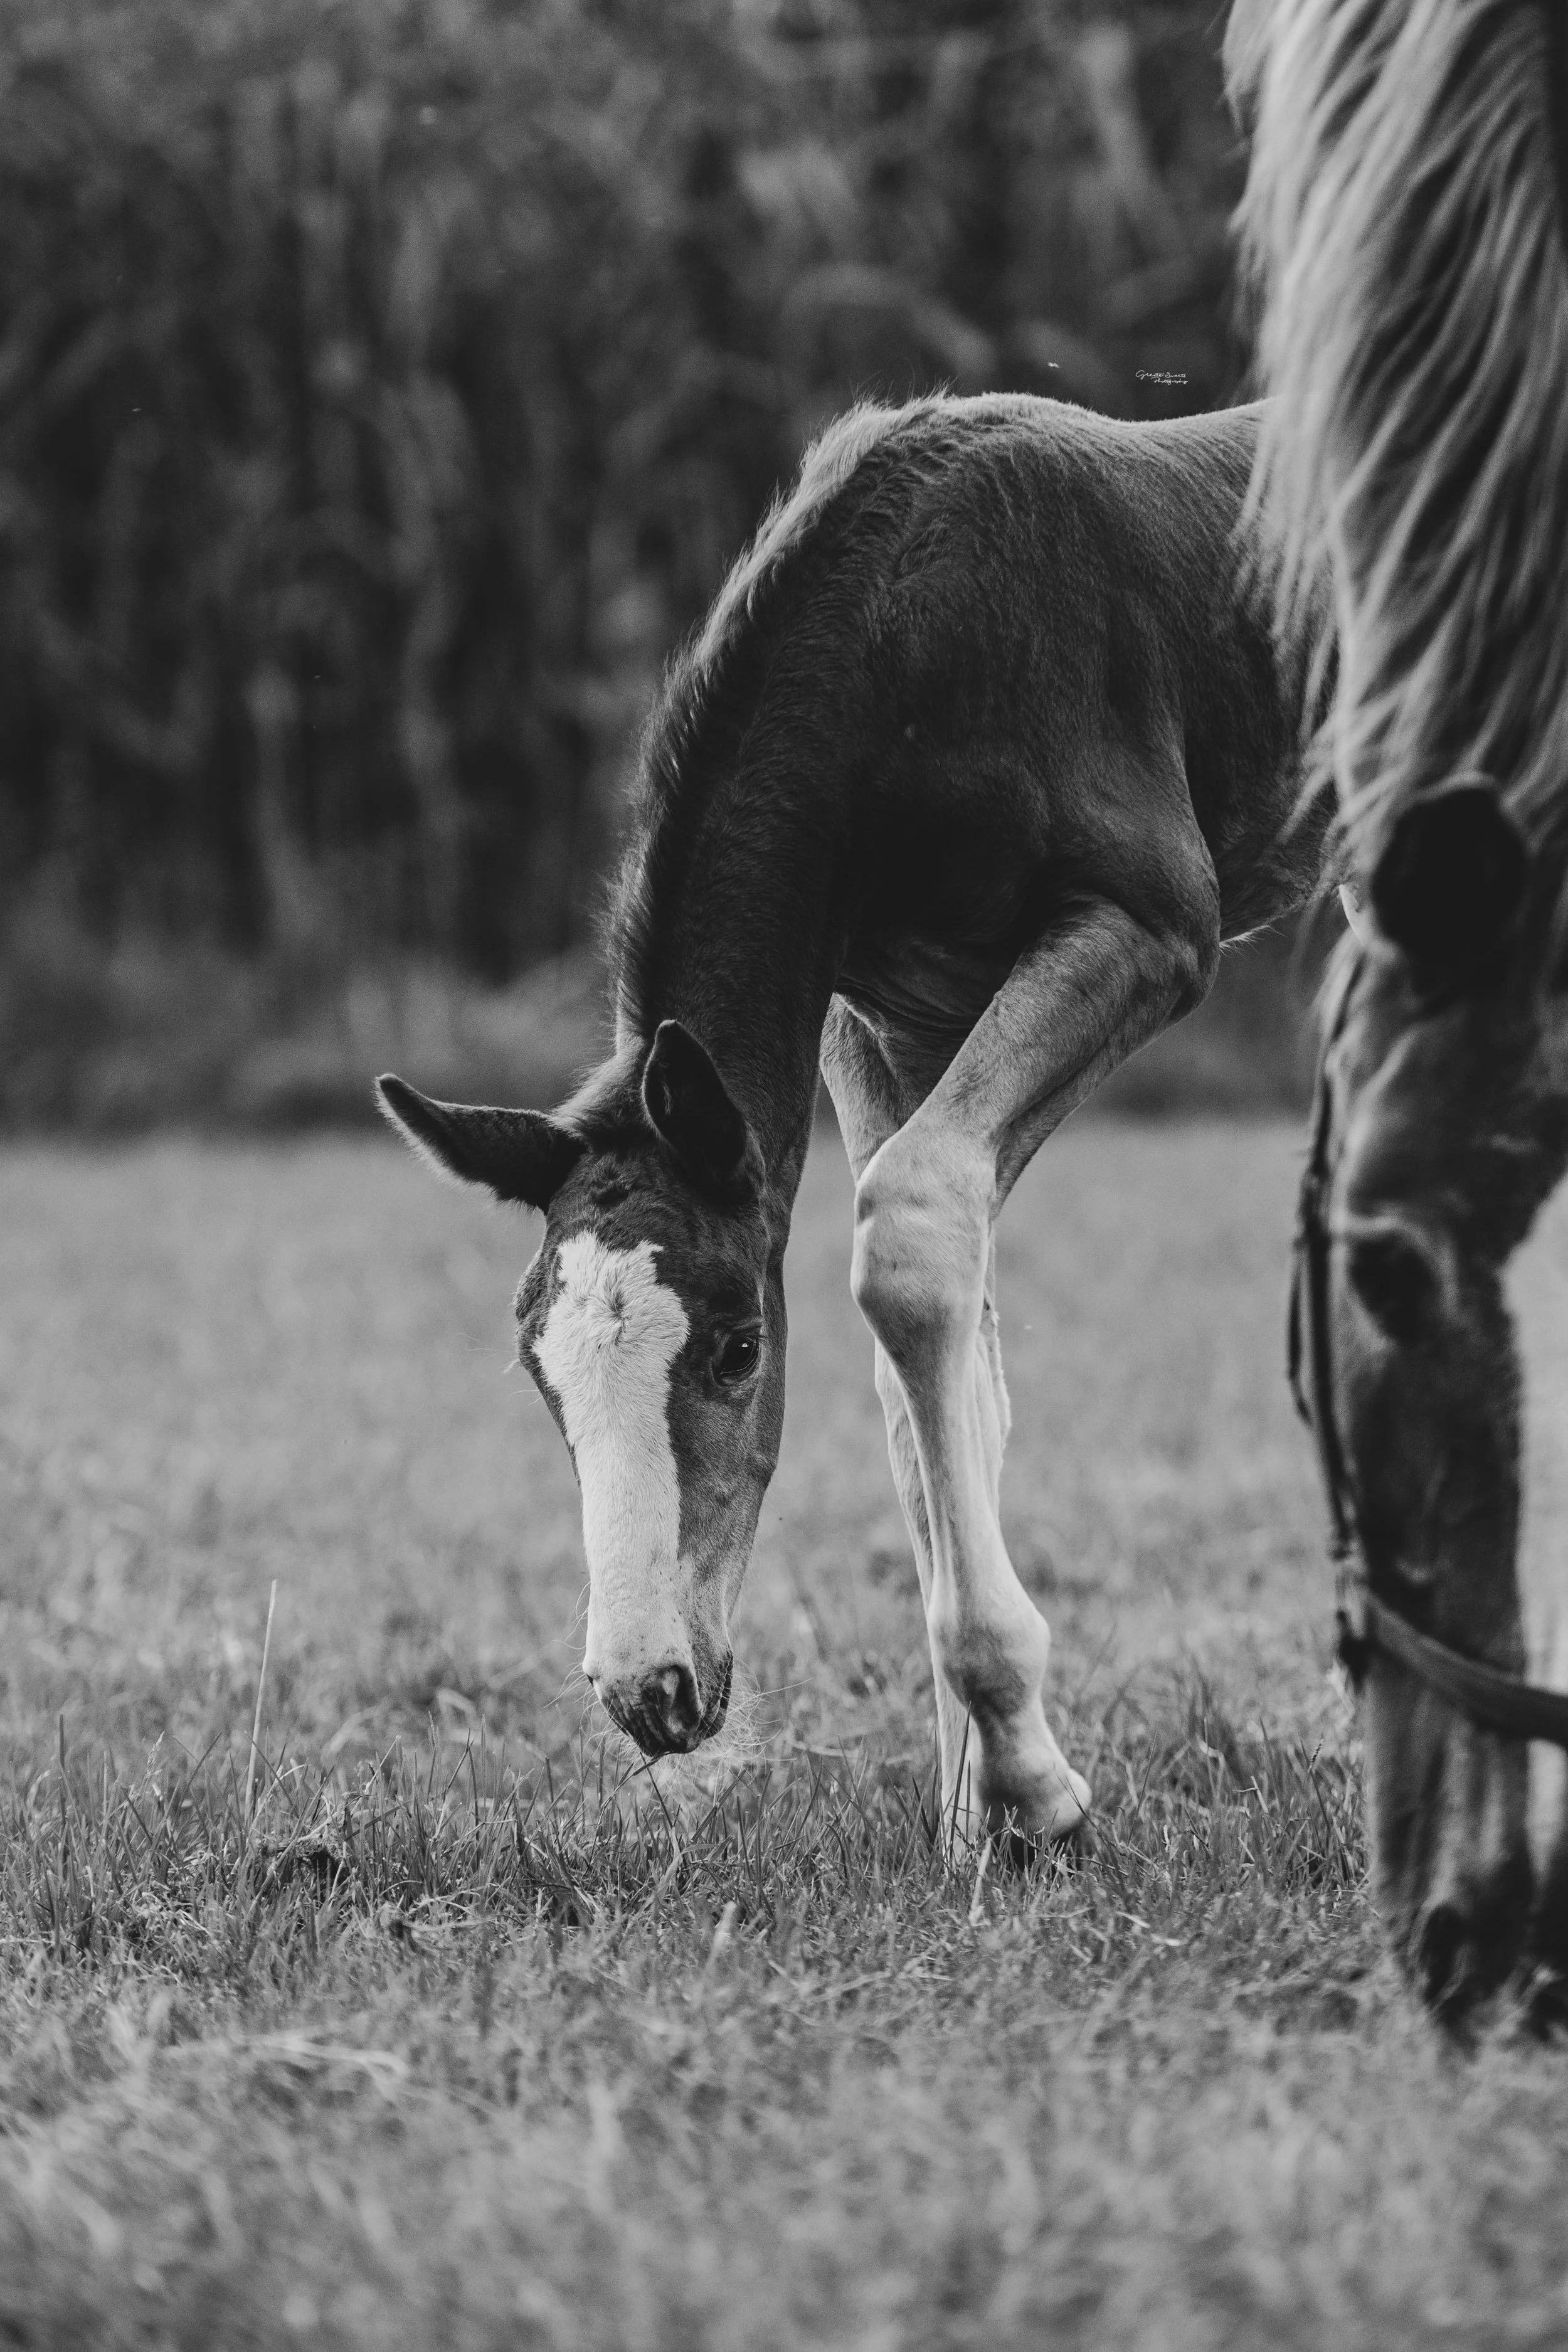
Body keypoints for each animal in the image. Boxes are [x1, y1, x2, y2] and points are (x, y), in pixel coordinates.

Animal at [379, 391, 1338, 1855]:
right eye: (538, 1373)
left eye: (737, 1350)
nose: (647, 1690)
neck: (903, 647)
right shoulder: (884, 1013)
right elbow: (945, 1362)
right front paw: (975, 1815)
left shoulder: (1148, 927)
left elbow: (909, 1235)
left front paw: (1033, 1791)